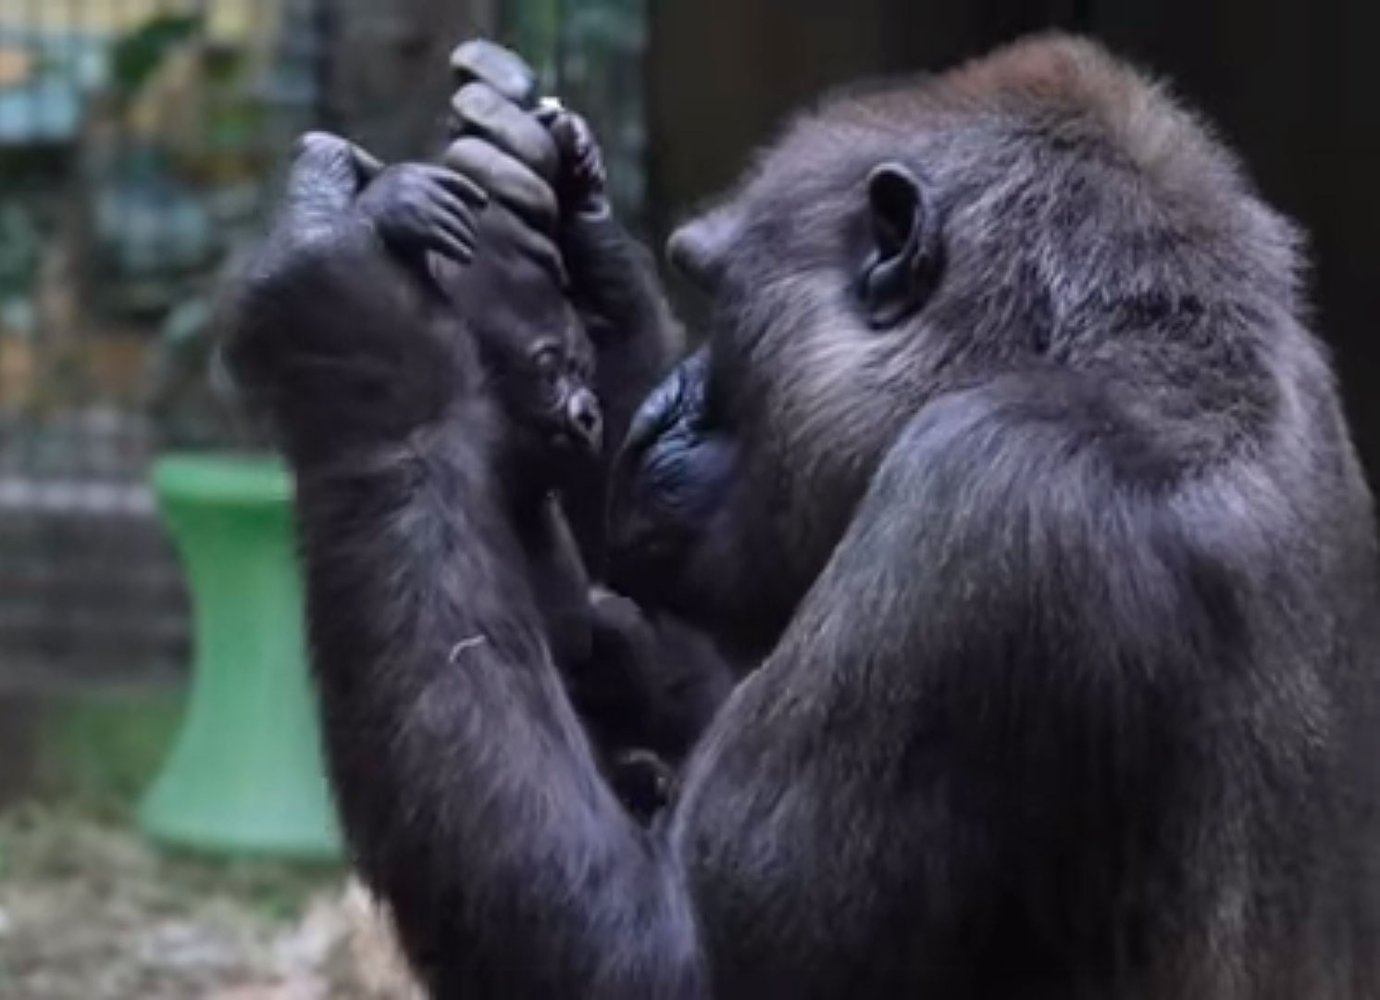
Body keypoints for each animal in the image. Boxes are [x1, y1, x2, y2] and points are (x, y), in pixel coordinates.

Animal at [231, 33, 1380, 998]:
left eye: (724, 297)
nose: (660, 401)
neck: (1120, 355)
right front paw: (568, 225)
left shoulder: (993, 501)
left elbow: (665, 965)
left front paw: (361, 325)